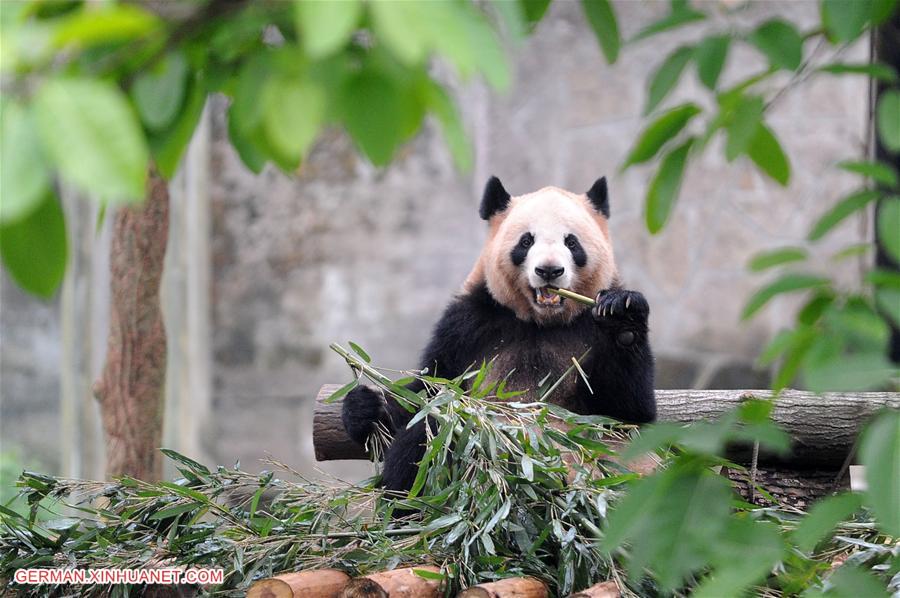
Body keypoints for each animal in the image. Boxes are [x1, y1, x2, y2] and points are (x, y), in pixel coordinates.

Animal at [342, 176, 656, 494]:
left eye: (572, 242)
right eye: (526, 241)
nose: (549, 270)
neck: (541, 322)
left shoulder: (588, 329)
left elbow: (628, 412)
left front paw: (623, 317)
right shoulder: (468, 326)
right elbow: (424, 396)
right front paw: (365, 408)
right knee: (429, 433)